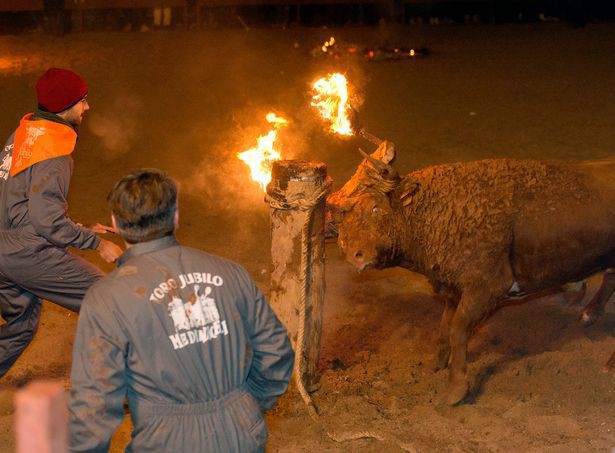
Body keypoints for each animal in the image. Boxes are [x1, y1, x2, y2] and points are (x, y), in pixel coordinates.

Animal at [330, 140, 615, 402]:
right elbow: (445, 328)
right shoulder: (453, 287)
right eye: (345, 220)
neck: (433, 213)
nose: (354, 255)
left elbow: (457, 331)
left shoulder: (487, 287)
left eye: (376, 208)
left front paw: (455, 389)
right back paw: (589, 314)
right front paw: (436, 364)